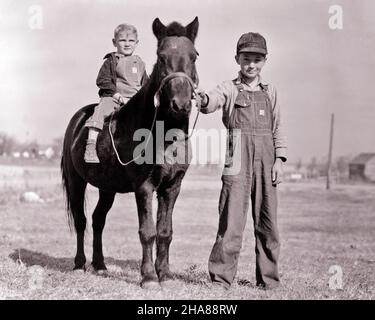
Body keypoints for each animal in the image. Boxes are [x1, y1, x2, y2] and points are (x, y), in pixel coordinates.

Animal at [61, 16, 200, 288]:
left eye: (194, 56)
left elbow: (165, 232)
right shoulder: (144, 186)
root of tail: (77, 120)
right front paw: (149, 277)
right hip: (76, 181)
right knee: (82, 221)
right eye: (161, 56)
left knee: (98, 220)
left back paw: (100, 265)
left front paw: (165, 275)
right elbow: (147, 232)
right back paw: (80, 264)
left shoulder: (172, 187)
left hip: (107, 187)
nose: (180, 104)